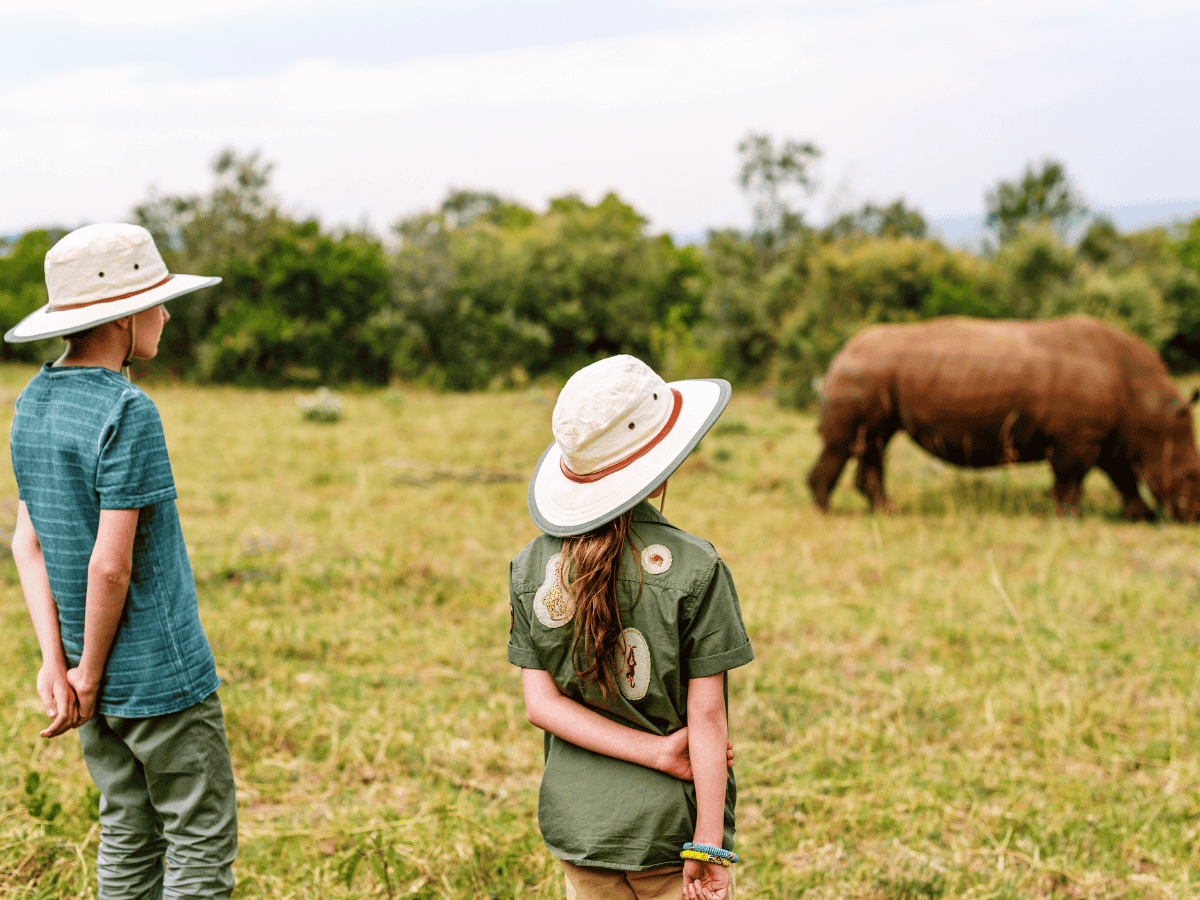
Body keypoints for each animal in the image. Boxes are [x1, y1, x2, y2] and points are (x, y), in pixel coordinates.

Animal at [807, 315, 1200, 521]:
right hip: (864, 371)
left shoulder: (1107, 435)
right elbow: (1072, 477)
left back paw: (887, 511)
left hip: (874, 372)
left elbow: (1123, 476)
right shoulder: (1079, 437)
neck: (1150, 407)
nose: (1192, 517)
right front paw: (1069, 516)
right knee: (847, 444)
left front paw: (1140, 516)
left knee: (874, 442)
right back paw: (826, 511)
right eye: (1192, 475)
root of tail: (842, 350)